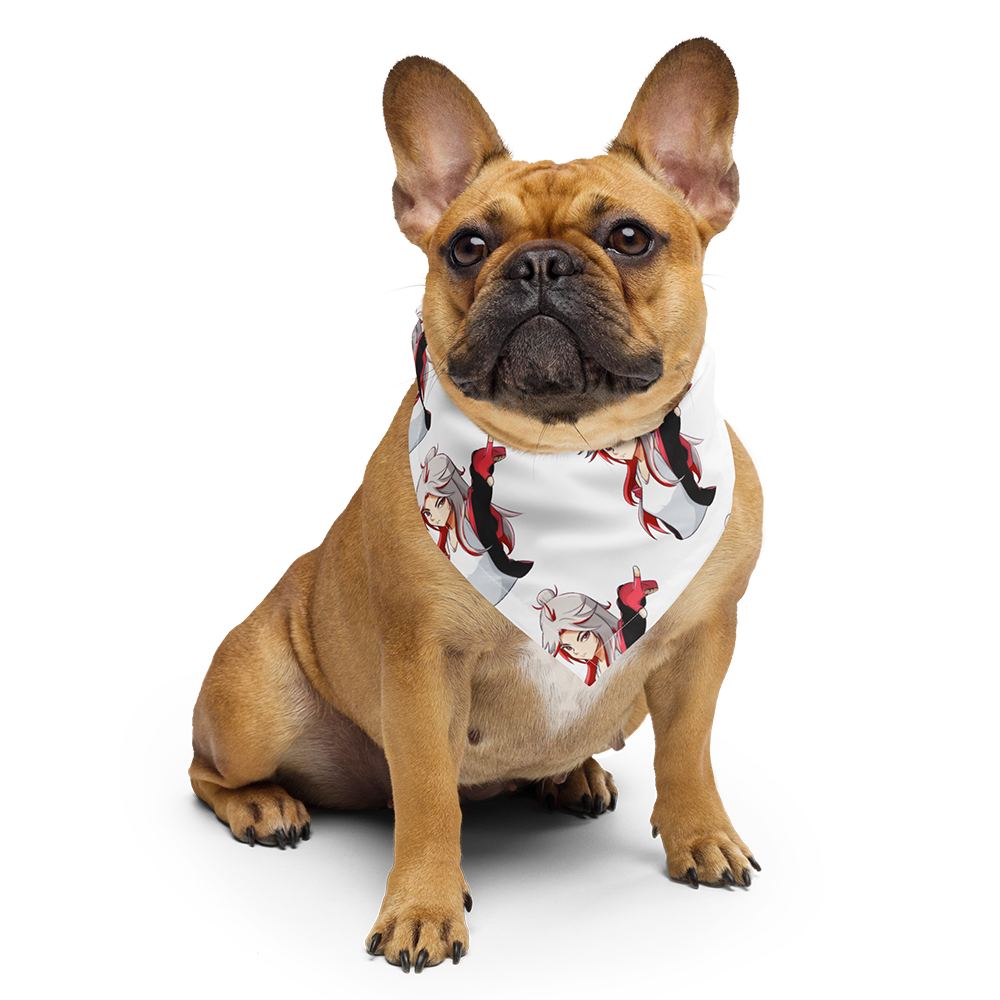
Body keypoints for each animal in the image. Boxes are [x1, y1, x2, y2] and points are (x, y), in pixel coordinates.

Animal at [190, 35, 765, 974]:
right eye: (467, 246)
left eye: (630, 237)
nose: (537, 263)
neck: (567, 455)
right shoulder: (424, 665)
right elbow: (428, 797)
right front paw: (423, 910)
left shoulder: (700, 643)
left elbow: (687, 752)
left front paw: (702, 838)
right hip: (257, 704)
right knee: (211, 771)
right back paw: (265, 808)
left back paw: (572, 777)